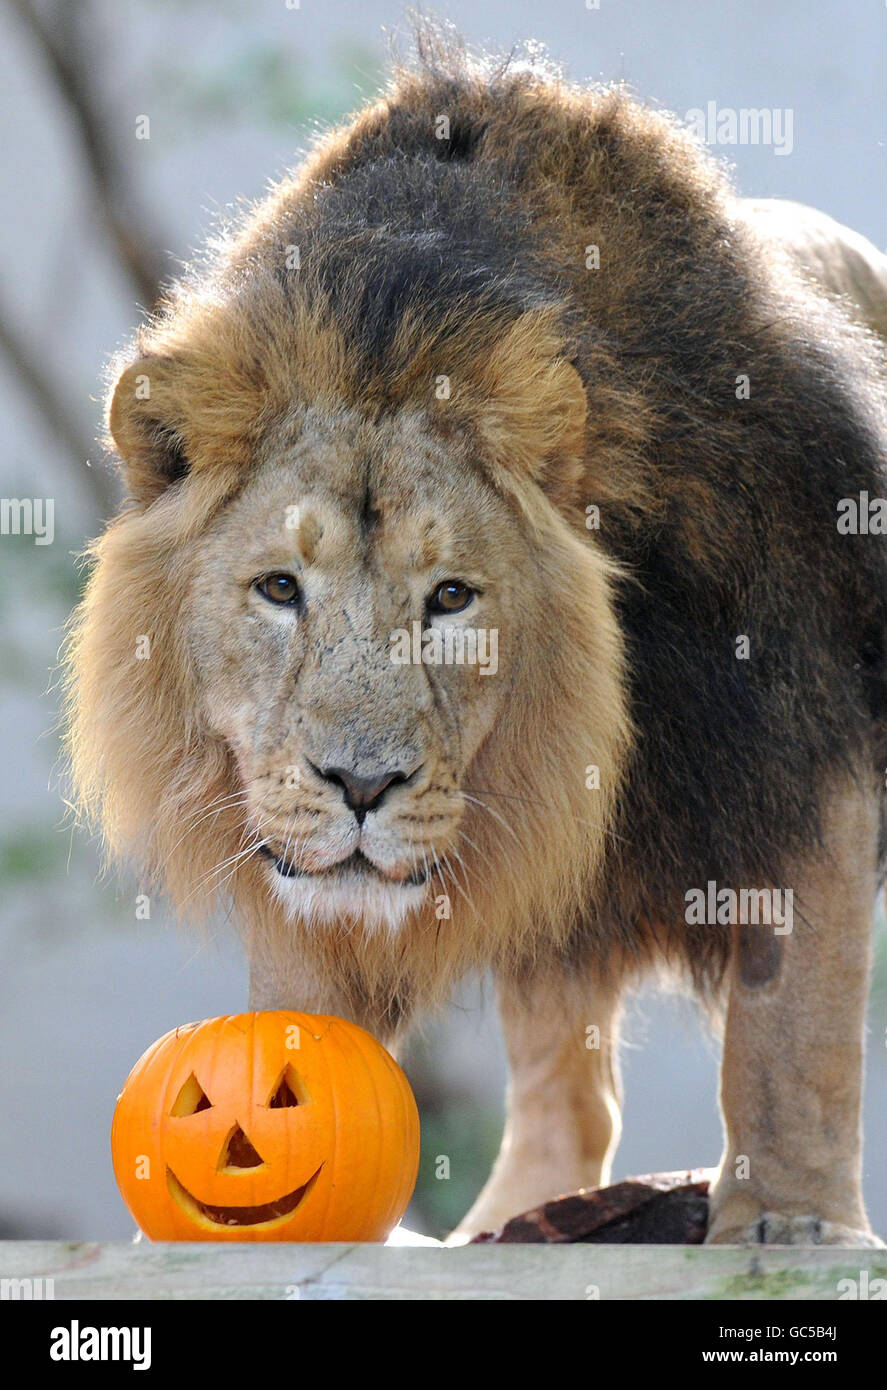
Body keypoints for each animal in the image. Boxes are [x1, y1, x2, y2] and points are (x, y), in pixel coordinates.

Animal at [65, 29, 887, 1246]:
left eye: (451, 598)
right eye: (278, 588)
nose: (363, 785)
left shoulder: (803, 727)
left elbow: (792, 1027)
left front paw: (788, 1221)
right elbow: (303, 1020)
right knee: (568, 1091)